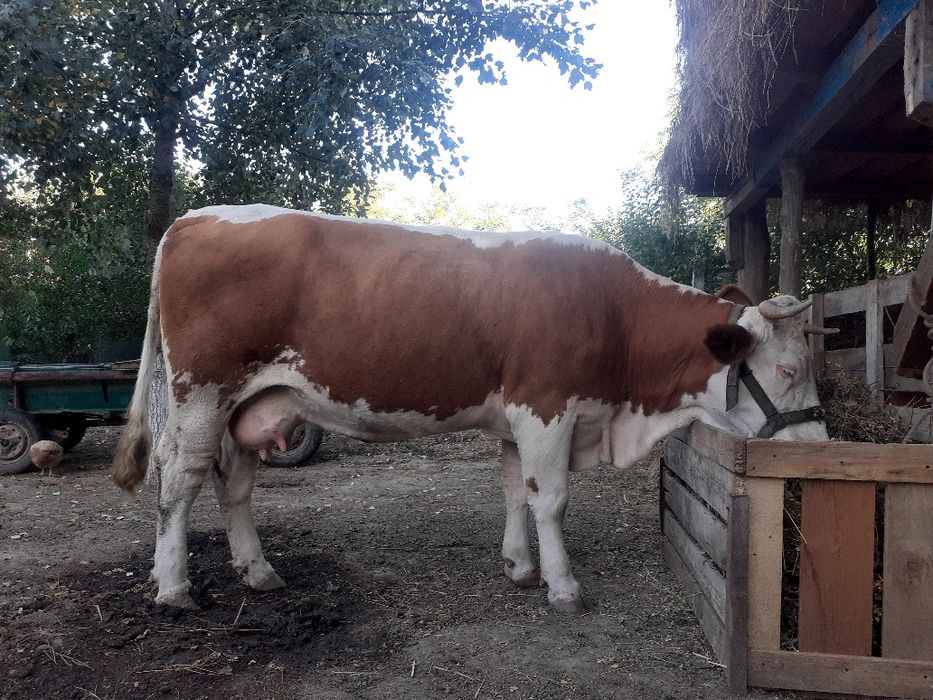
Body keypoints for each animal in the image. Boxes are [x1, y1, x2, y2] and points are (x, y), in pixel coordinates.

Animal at [113, 204, 830, 614]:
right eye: (789, 369)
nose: (820, 445)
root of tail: (192, 219)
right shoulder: (544, 407)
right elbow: (550, 499)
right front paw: (562, 586)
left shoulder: (517, 418)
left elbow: (514, 489)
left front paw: (519, 567)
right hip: (201, 393)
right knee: (178, 482)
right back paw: (173, 588)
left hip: (254, 404)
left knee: (233, 485)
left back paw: (258, 572)